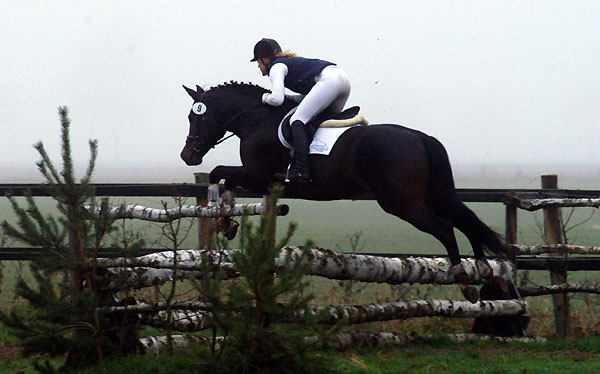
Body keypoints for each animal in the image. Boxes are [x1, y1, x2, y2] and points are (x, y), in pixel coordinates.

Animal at [179, 82, 510, 304]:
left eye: (197, 117)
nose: (187, 156)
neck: (257, 120)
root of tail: (420, 137)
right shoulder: (263, 182)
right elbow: (225, 180)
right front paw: (227, 222)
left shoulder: (257, 175)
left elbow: (218, 173)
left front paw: (223, 217)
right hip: (432, 195)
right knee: (466, 219)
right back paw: (483, 268)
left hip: (401, 202)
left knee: (445, 226)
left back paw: (464, 281)